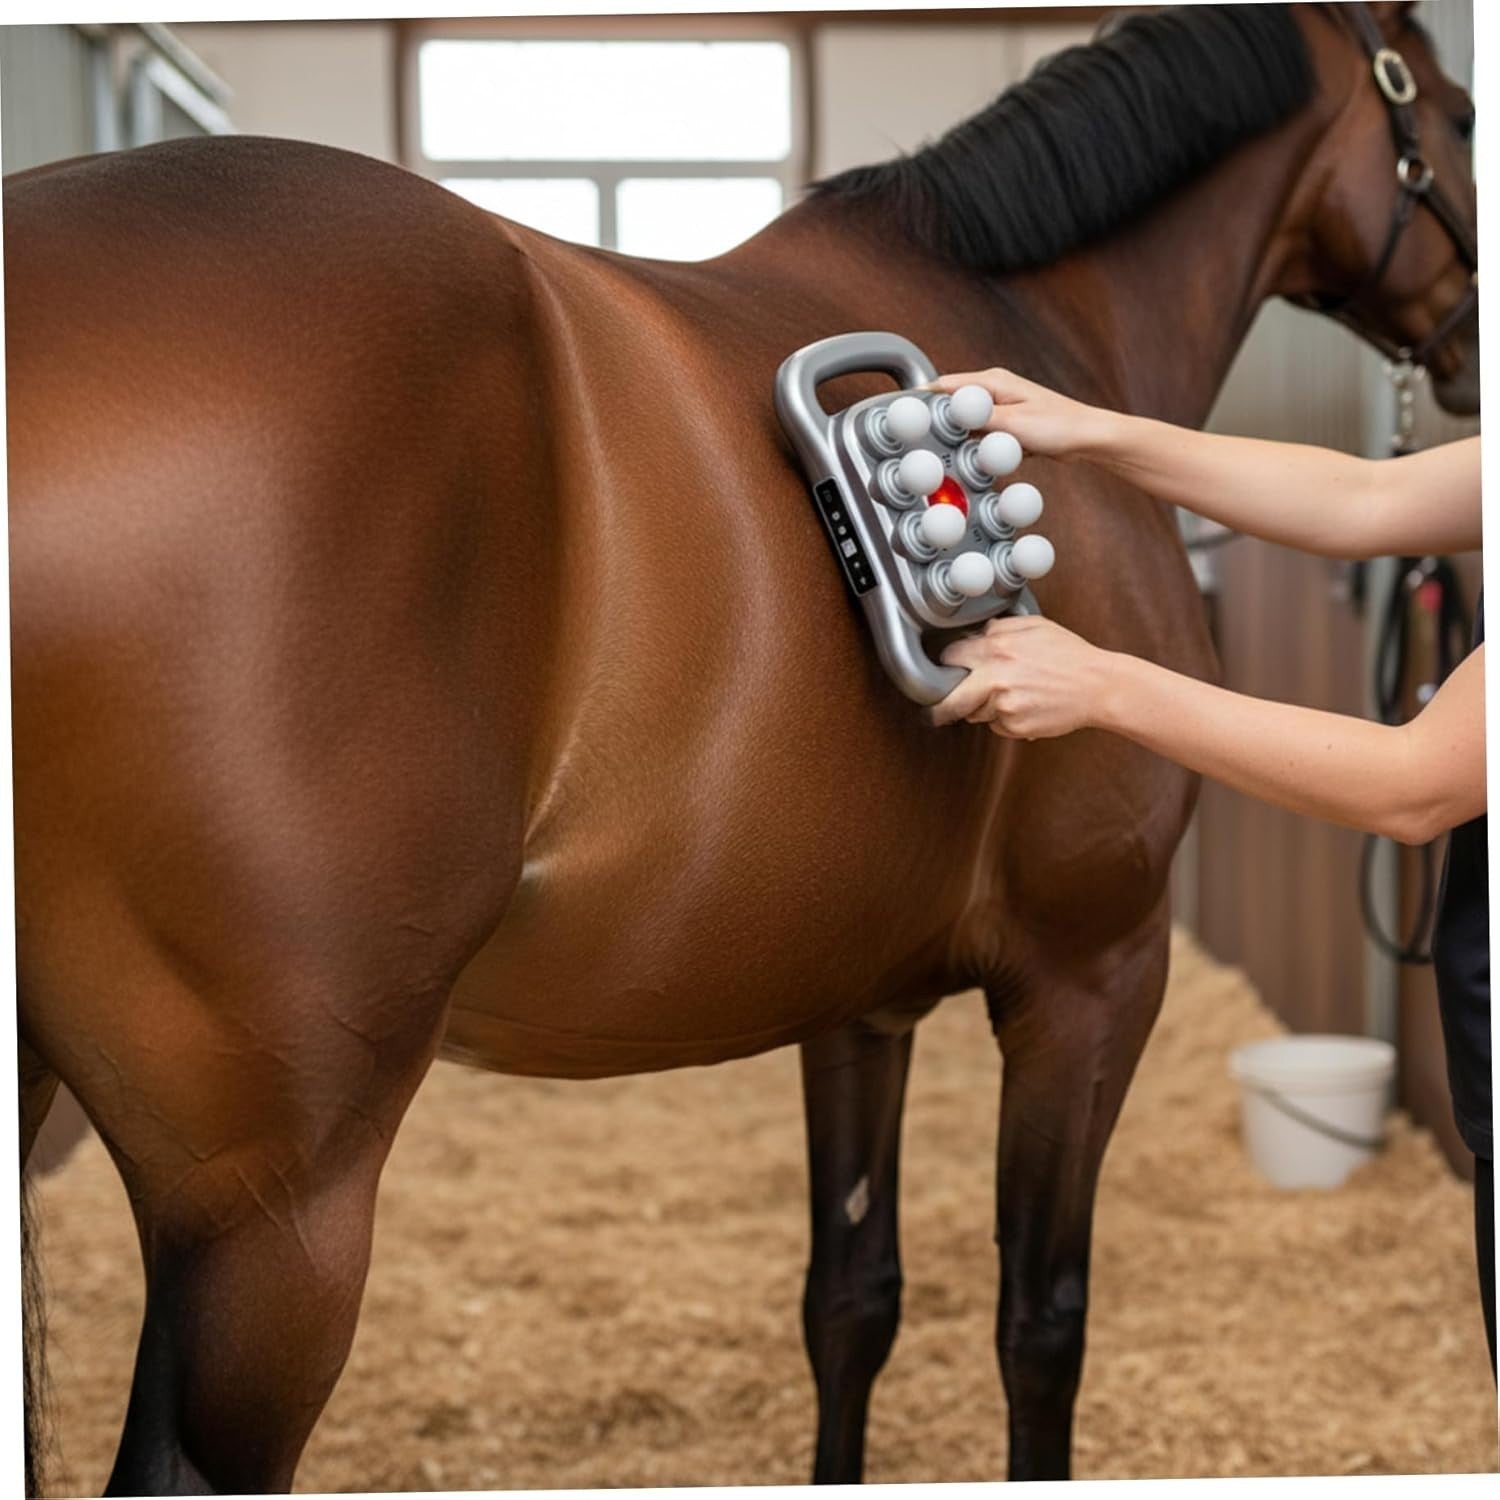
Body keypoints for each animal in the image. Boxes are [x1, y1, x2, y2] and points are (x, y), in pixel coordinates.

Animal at [7, 3, 1477, 1492]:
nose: (1471, 357)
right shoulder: (1092, 974)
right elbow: (1041, 1321)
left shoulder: (856, 995)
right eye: (1462, 116)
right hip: (275, 1200)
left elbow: (850, 1300)